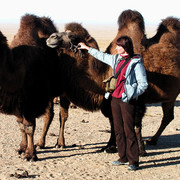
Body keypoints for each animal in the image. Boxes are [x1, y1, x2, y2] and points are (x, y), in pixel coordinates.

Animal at [0, 13, 61, 161]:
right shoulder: (18, 102)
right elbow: (21, 125)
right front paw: (22, 148)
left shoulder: (31, 100)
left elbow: (29, 127)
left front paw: (30, 154)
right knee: (49, 115)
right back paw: (41, 143)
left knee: (57, 115)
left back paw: (56, 143)